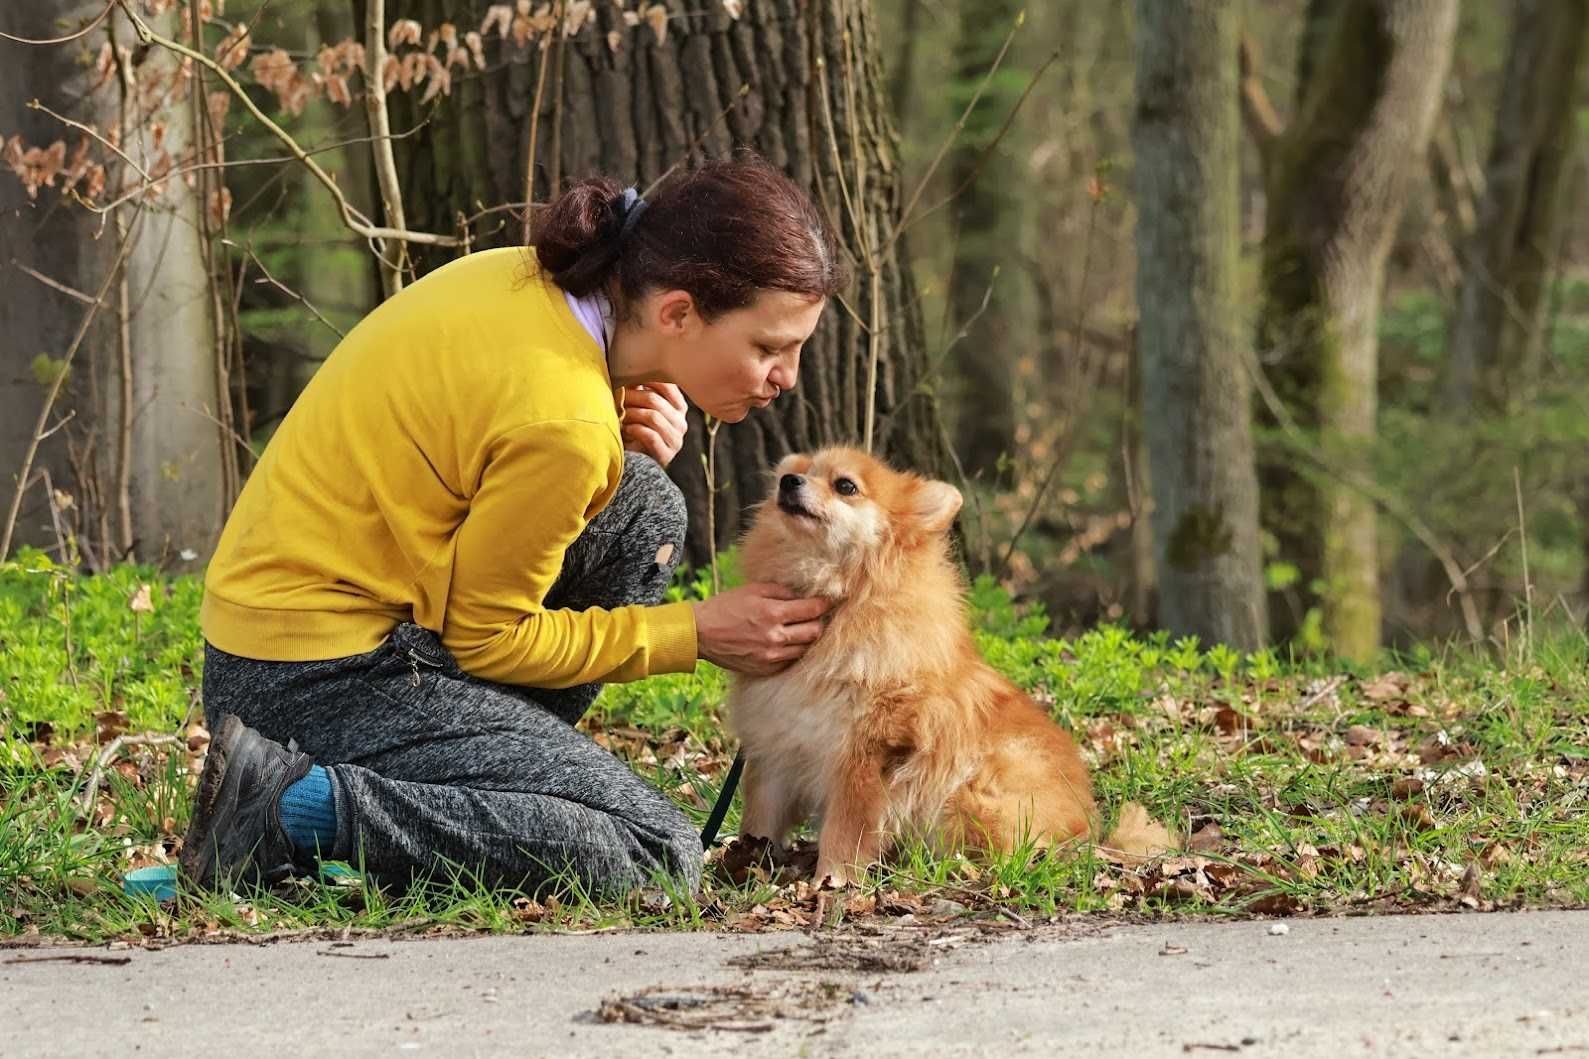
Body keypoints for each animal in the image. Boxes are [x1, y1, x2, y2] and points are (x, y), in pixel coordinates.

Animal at [730, 445, 1118, 884]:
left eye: (845, 486)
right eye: (801, 471)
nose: (788, 481)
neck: (839, 604)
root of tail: (1088, 826)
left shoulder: (865, 756)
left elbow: (844, 831)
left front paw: (832, 881)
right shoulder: (777, 746)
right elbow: (760, 816)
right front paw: (746, 861)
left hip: (969, 795)